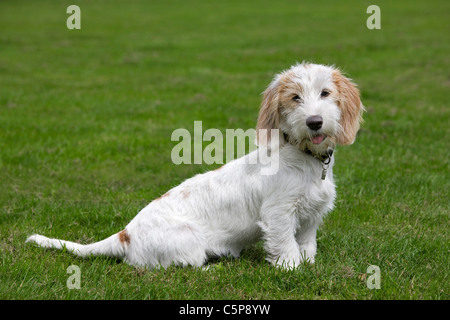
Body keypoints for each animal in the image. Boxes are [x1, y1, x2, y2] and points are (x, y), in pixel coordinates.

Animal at [27, 61, 366, 268]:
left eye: (325, 93)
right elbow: (286, 245)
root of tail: (125, 234)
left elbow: (306, 244)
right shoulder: (278, 214)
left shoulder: (311, 216)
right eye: (295, 98)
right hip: (190, 242)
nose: (314, 122)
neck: (306, 158)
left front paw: (308, 265)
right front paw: (292, 269)